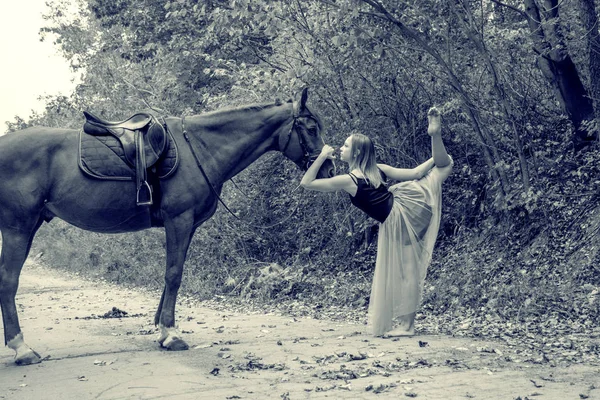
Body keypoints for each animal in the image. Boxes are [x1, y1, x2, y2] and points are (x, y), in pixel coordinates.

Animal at [0, 88, 332, 366]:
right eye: (311, 128)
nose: (328, 169)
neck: (201, 148)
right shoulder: (179, 220)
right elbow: (174, 274)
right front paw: (171, 334)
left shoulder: (187, 225)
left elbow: (171, 273)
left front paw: (161, 328)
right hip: (18, 228)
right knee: (8, 281)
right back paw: (22, 349)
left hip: (28, 228)